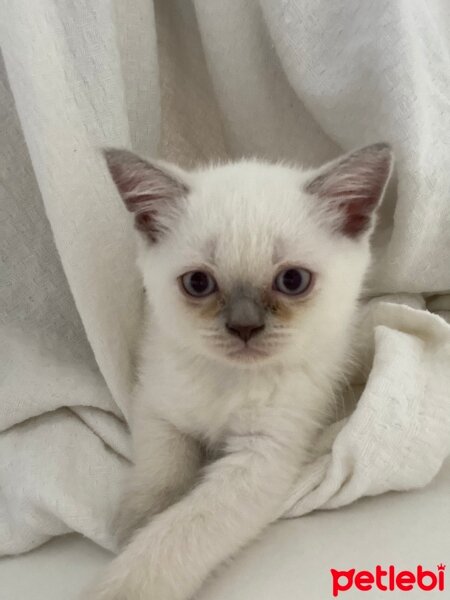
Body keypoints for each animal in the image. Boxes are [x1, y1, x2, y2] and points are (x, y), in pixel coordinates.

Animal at [86, 144, 392, 600]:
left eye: (293, 280)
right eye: (197, 283)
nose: (244, 327)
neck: (229, 378)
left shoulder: (260, 458)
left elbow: (181, 532)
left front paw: (125, 581)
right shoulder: (160, 410)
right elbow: (160, 473)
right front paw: (136, 522)